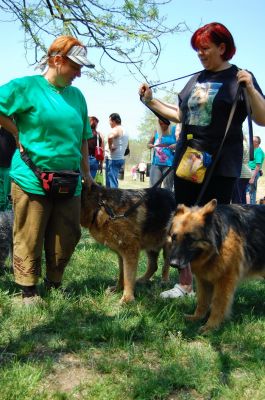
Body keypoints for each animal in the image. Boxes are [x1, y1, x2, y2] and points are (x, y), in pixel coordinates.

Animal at [168, 198, 264, 332]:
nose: (173, 264)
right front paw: (197, 317)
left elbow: (218, 304)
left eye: (190, 239)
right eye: (174, 237)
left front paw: (210, 327)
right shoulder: (203, 280)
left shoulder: (224, 281)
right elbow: (202, 301)